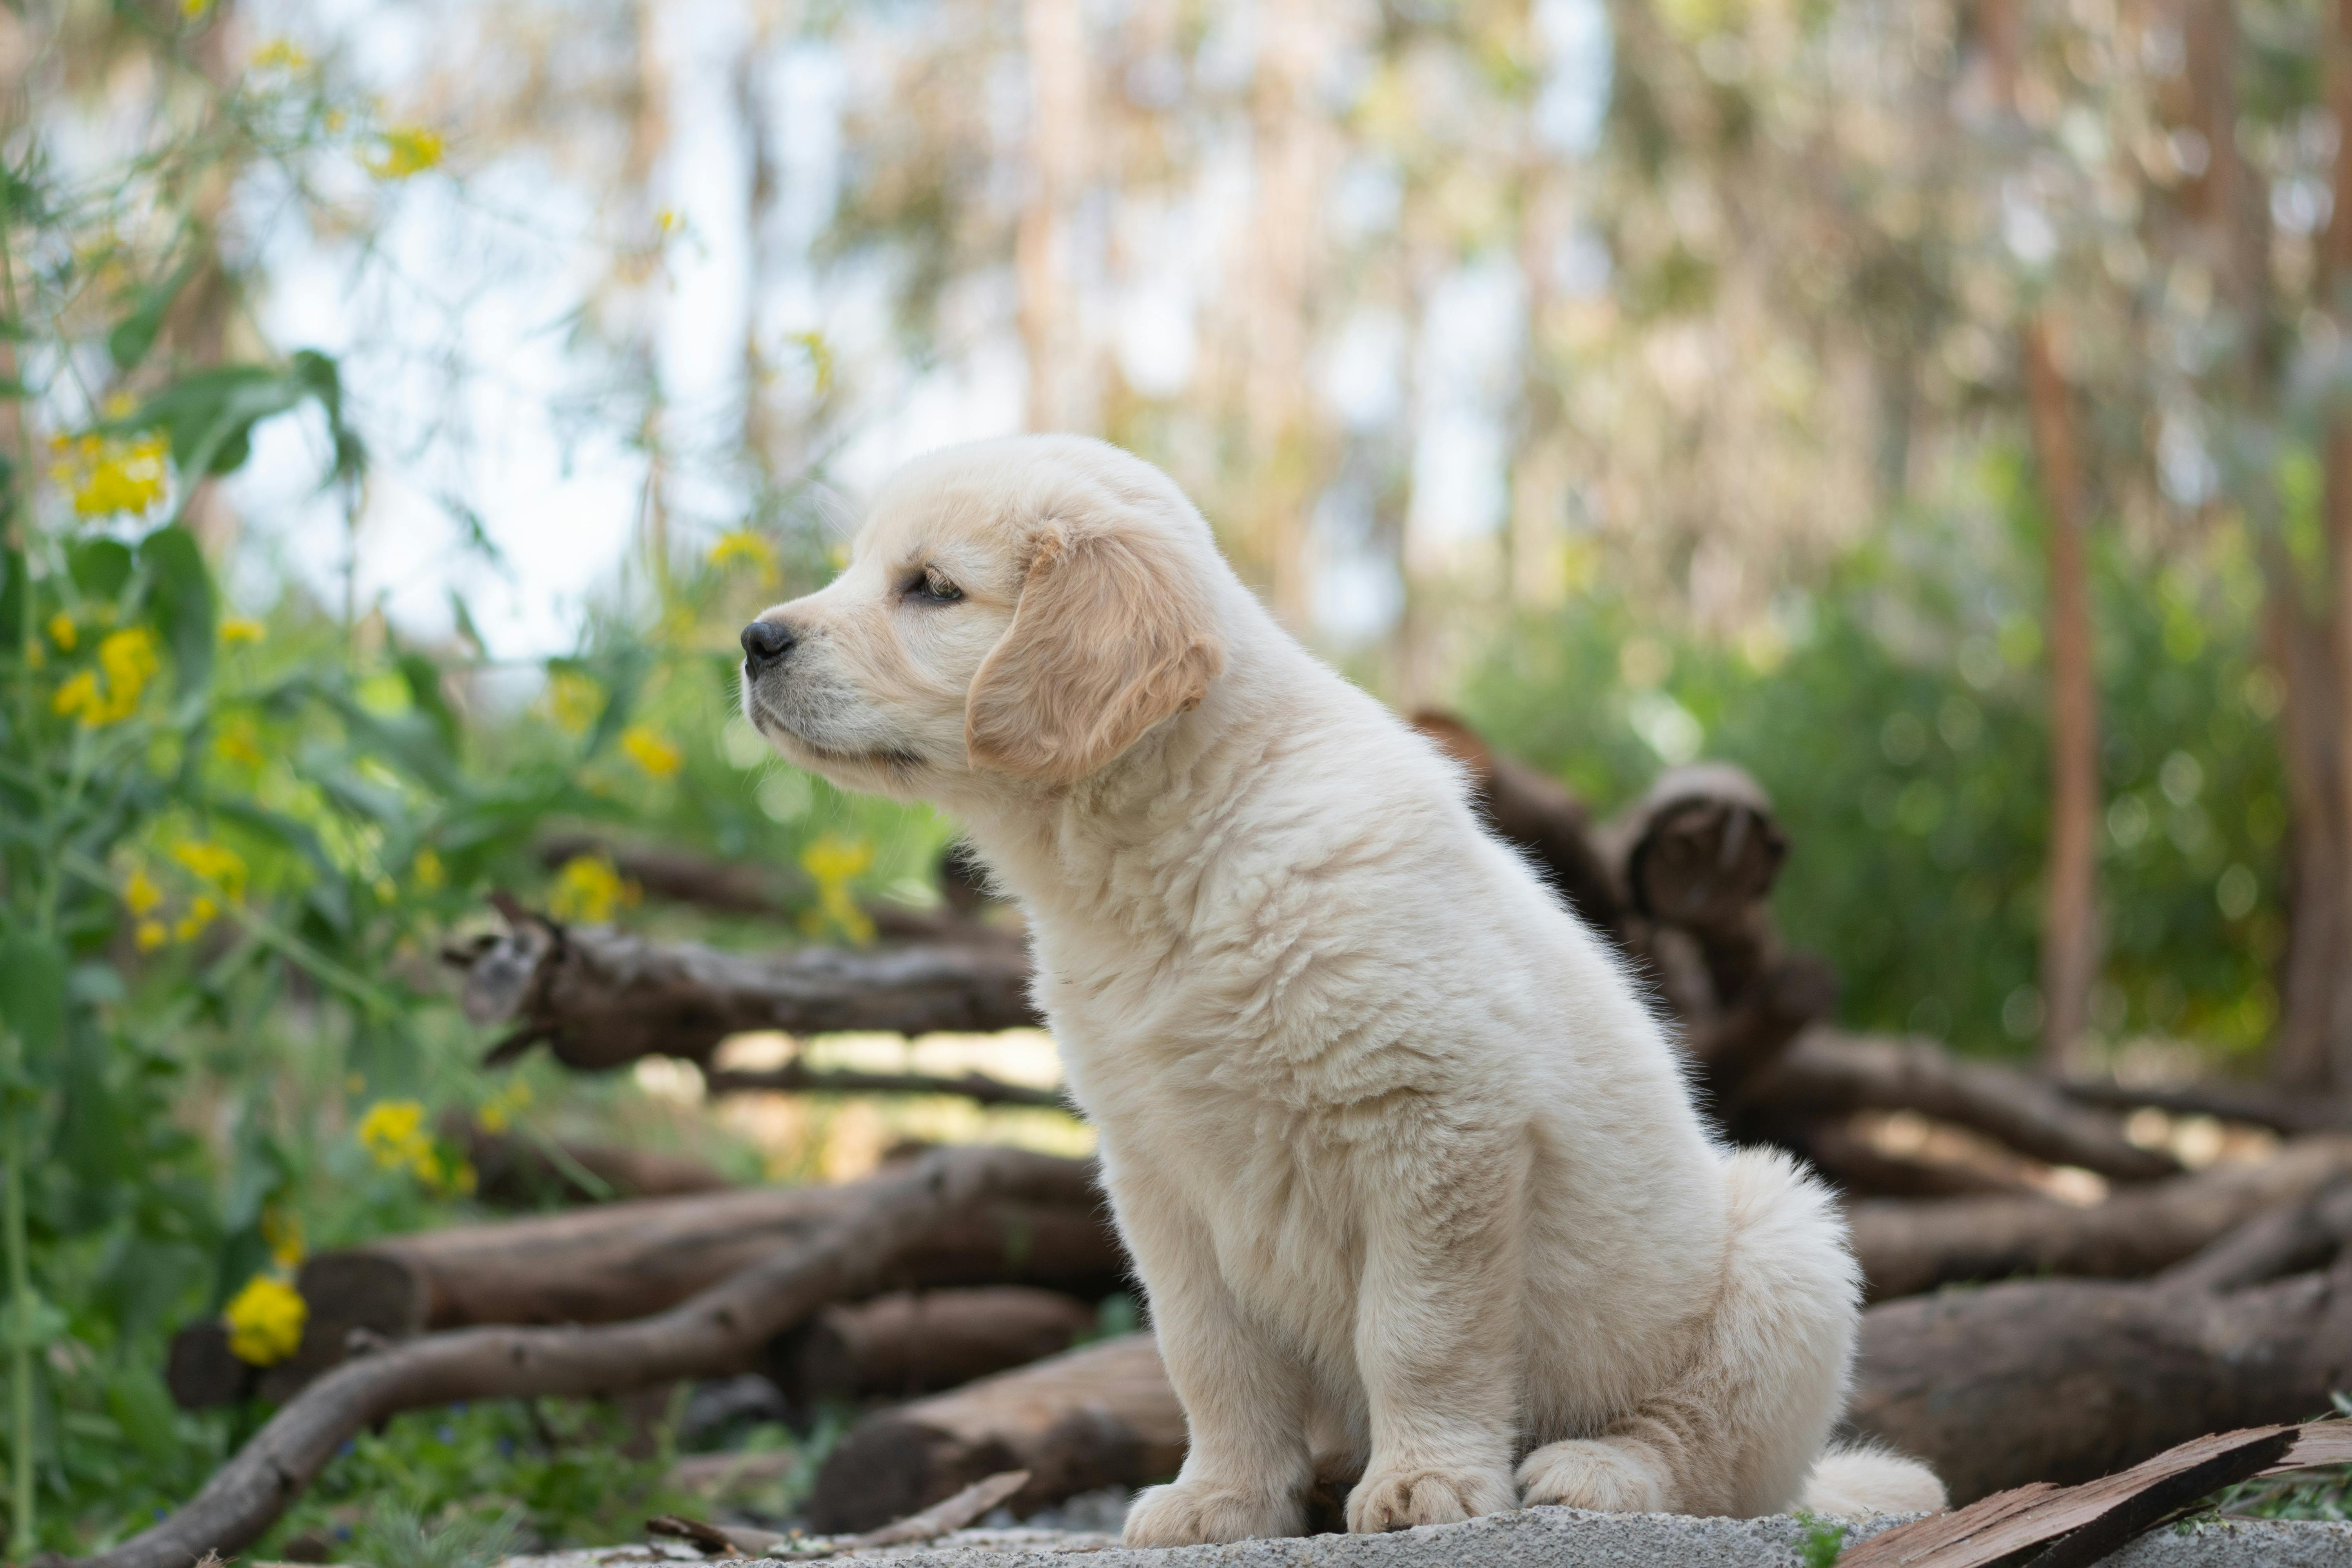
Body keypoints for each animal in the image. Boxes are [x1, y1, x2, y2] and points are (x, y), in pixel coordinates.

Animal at [739, 430, 1947, 1542]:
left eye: (931, 587)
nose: (753, 640)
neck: (1178, 856)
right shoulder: (1158, 1171)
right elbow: (1208, 1352)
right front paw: (1223, 1498)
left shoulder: (1436, 1121)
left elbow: (1417, 1331)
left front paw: (1424, 1483)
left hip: (1788, 1243)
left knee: (1712, 1461)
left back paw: (1599, 1469)